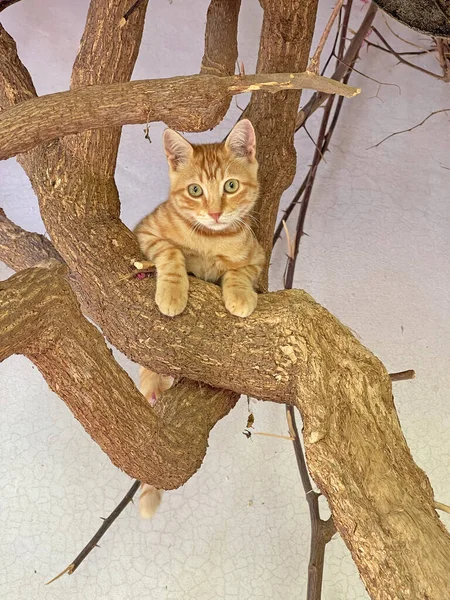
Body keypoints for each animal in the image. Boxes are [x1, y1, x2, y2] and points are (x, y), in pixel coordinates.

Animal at [134, 119, 264, 516]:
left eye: (230, 186)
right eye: (195, 191)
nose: (216, 213)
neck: (211, 237)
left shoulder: (258, 257)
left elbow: (239, 271)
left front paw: (238, 295)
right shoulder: (145, 232)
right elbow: (171, 251)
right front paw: (173, 292)